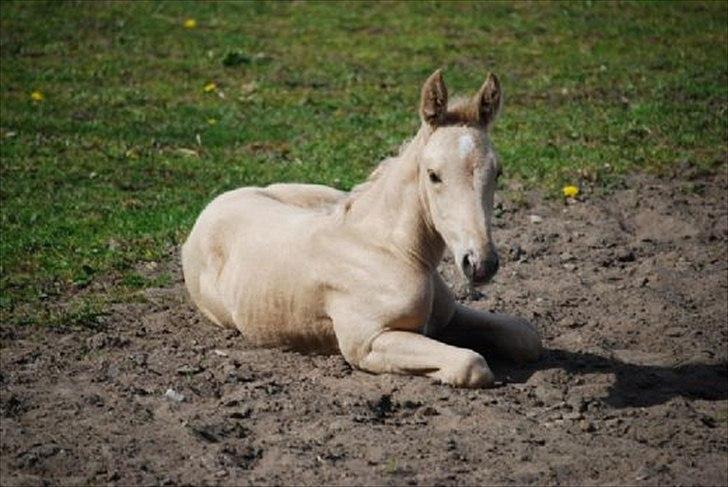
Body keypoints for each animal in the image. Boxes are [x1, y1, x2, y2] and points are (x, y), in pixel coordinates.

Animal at [183, 69, 540, 388]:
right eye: (434, 175)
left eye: (497, 172)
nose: (481, 264)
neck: (389, 248)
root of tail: (213, 205)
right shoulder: (368, 342)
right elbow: (470, 363)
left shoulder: (449, 315)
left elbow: (526, 336)